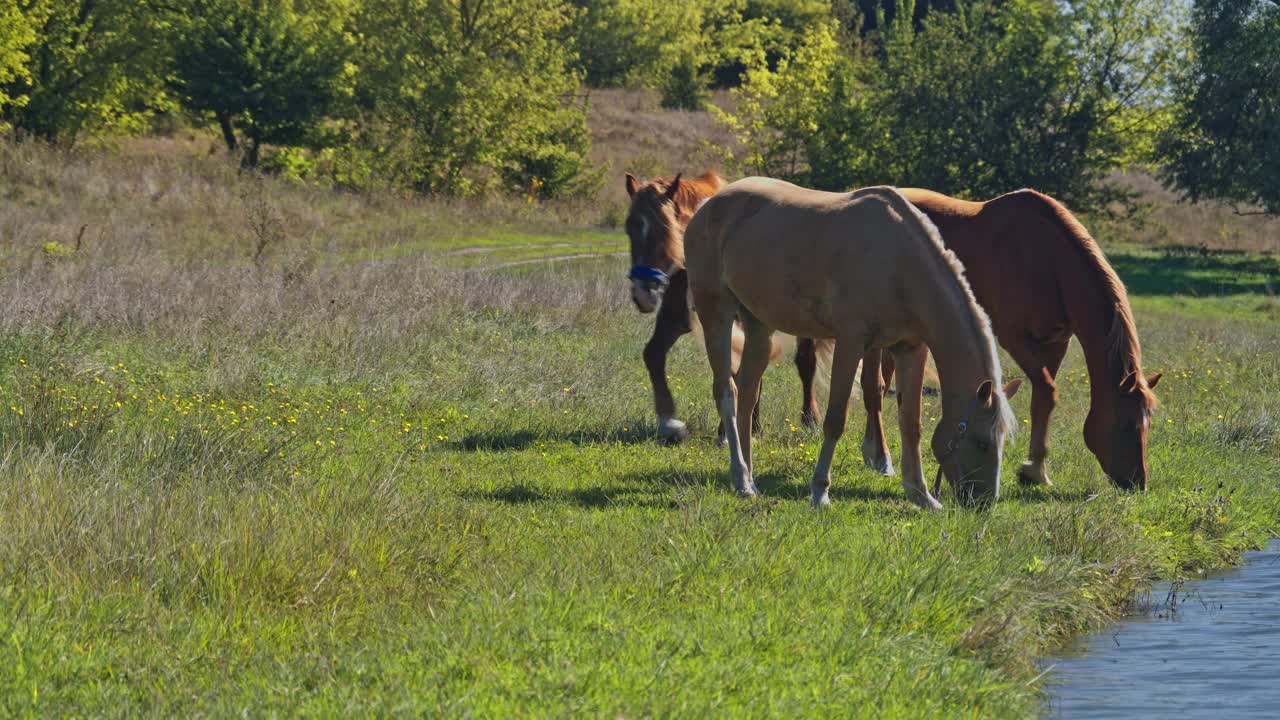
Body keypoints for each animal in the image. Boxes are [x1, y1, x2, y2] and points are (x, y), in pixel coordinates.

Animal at [622, 170, 824, 440]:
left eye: (664, 228)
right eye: (629, 227)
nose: (643, 293)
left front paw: (729, 430)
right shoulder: (678, 317)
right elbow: (653, 354)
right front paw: (669, 422)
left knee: (806, 364)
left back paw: (809, 418)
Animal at [691, 176, 1018, 507]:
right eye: (982, 442)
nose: (984, 503)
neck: (899, 262)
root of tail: (710, 203)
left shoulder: (910, 349)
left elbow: (911, 423)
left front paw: (921, 494)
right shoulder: (850, 344)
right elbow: (836, 419)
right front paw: (820, 491)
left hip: (759, 326)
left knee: (747, 393)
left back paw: (748, 480)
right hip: (716, 314)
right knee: (727, 392)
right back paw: (740, 477)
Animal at [803, 184, 1167, 486]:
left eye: (1148, 425)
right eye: (1126, 425)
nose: (1137, 482)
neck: (1048, 260)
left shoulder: (1055, 343)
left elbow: (1043, 399)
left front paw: (1036, 469)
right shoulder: (1015, 338)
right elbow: (1047, 390)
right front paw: (1035, 469)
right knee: (873, 387)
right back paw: (878, 455)